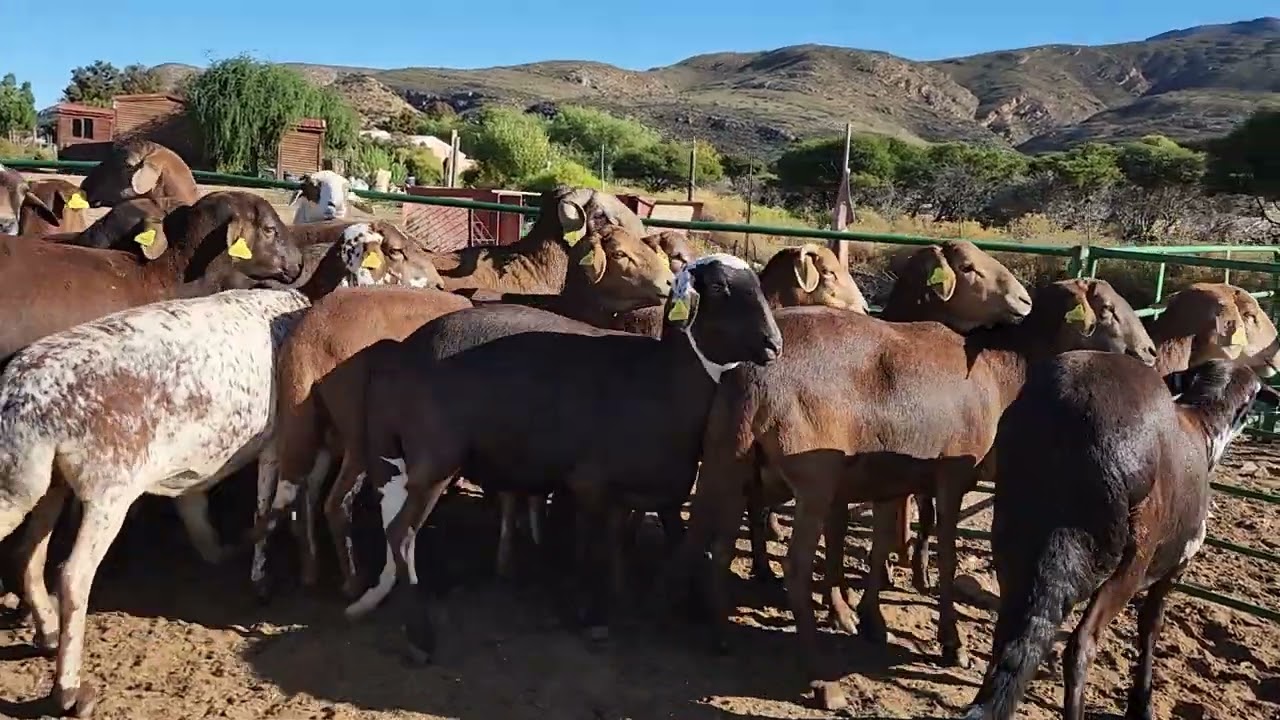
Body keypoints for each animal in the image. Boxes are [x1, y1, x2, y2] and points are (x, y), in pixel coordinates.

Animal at [0, 288, 314, 718]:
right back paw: (68, 689)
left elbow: (200, 515)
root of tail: (24, 407)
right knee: (72, 576)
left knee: (28, 554)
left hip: (37, 482)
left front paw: (222, 552)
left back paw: (47, 634)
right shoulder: (275, 439)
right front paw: (260, 581)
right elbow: (265, 508)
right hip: (108, 489)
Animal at [301, 254, 780, 654]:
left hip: (398, 458)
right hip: (435, 458)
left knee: (392, 531)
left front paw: (621, 600)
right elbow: (593, 548)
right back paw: (420, 638)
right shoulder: (589, 482)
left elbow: (624, 544)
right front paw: (592, 615)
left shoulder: (629, 493)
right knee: (402, 534)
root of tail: (400, 354)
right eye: (719, 287)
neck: (663, 379)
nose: (774, 345)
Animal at [671, 278, 1157, 711]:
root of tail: (752, 376)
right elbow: (946, 558)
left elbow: (880, 545)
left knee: (713, 546)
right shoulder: (952, 475)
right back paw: (821, 680)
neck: (1001, 372)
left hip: (727, 460)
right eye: (1108, 310)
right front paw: (951, 643)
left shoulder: (893, 478)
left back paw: (718, 634)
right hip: (812, 478)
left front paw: (871, 619)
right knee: (794, 567)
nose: (1150, 353)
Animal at [960, 356, 1278, 720]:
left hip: (1012, 538)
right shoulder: (1176, 565)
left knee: (1009, 632)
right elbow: (1150, 627)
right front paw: (1142, 705)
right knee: (1082, 644)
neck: (1206, 425)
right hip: (1130, 562)